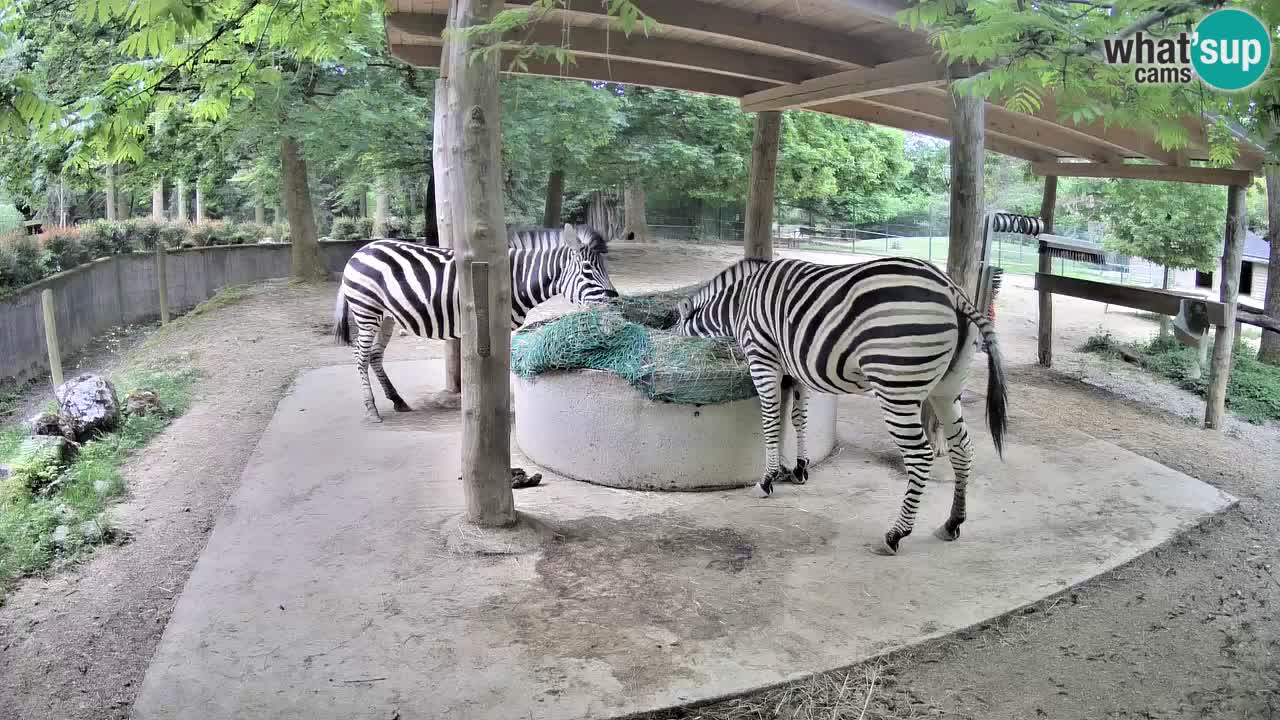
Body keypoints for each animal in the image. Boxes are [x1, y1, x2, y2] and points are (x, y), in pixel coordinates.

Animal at [333, 224, 619, 421]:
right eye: (587, 270)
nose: (615, 301)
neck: (515, 280)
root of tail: (360, 251)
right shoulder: (497, 327)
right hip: (367, 311)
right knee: (361, 356)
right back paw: (372, 409)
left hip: (387, 317)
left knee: (375, 356)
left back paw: (397, 400)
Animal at [675, 256, 1008, 556]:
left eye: (674, 325)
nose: (671, 339)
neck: (740, 301)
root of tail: (951, 290)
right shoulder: (795, 369)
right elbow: (797, 418)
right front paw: (798, 468)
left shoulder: (762, 359)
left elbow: (771, 420)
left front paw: (768, 479)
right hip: (946, 389)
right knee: (962, 449)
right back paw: (952, 522)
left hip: (896, 386)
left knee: (920, 456)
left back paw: (895, 534)